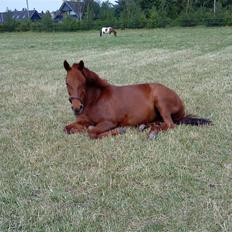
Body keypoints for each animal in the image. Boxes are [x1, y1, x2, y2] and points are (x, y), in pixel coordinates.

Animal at [63, 60, 212, 140]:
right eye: (67, 83)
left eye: (83, 83)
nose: (76, 108)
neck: (95, 100)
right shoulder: (82, 121)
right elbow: (67, 129)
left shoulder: (109, 122)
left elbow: (92, 132)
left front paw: (119, 130)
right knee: (161, 123)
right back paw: (145, 127)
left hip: (161, 102)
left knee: (170, 124)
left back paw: (151, 133)